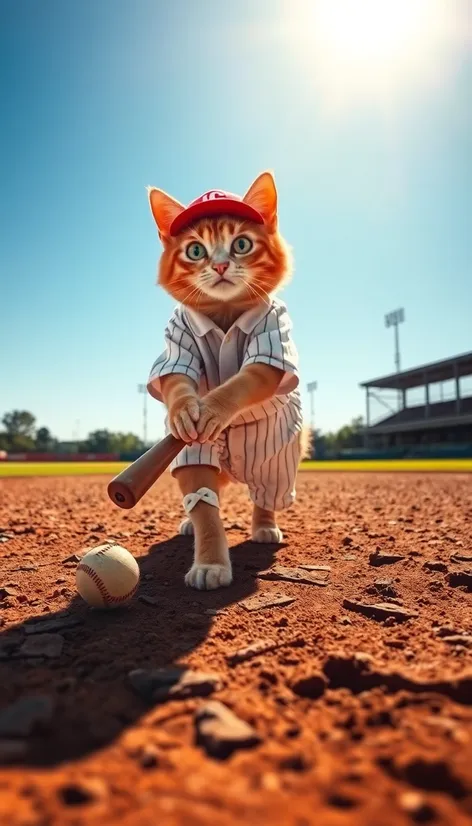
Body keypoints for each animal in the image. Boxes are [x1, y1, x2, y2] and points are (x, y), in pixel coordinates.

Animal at [146, 172, 304, 584]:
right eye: (195, 251)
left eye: (242, 244)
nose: (219, 266)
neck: (224, 311)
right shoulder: (177, 333)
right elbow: (175, 378)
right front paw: (210, 563)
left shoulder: (274, 328)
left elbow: (249, 377)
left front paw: (211, 409)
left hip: (276, 454)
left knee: (269, 491)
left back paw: (265, 525)